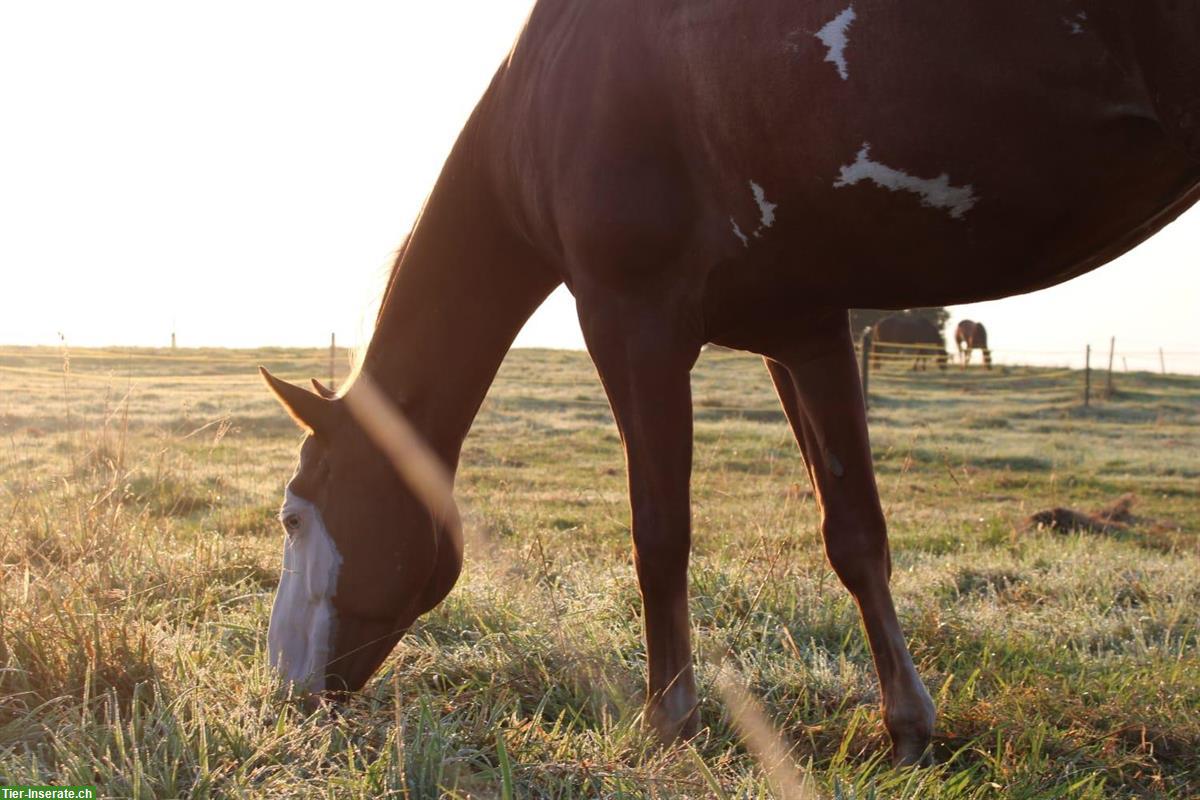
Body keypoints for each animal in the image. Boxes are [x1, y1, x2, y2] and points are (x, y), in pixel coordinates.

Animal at [260, 0, 1200, 767]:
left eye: (294, 515)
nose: (283, 691)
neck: (556, 89)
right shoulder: (805, 332)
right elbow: (855, 535)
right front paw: (907, 729)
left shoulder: (632, 324)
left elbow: (659, 534)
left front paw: (669, 724)